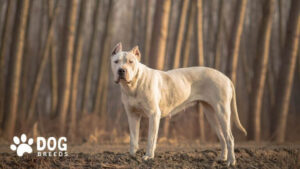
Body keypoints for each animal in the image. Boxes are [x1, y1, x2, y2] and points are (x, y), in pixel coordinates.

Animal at [110, 43, 246, 166]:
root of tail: (226, 78)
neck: (133, 85)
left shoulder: (154, 115)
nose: (121, 70)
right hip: (211, 113)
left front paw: (148, 156)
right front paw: (131, 156)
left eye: (131, 62)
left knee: (229, 138)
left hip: (222, 112)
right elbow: (133, 138)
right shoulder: (132, 115)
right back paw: (222, 158)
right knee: (222, 137)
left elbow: (151, 139)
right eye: (116, 61)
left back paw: (231, 161)